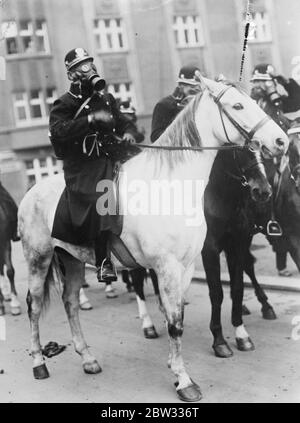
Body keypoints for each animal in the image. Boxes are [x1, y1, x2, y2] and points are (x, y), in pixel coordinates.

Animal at [18, 78, 288, 402]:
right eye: (237, 105)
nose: (281, 140)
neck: (172, 185)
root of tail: (31, 191)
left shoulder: (187, 266)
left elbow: (179, 316)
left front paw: (175, 366)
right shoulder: (168, 266)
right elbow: (175, 322)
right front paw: (184, 381)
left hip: (71, 261)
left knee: (70, 303)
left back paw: (88, 359)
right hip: (39, 258)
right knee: (34, 307)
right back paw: (38, 362)